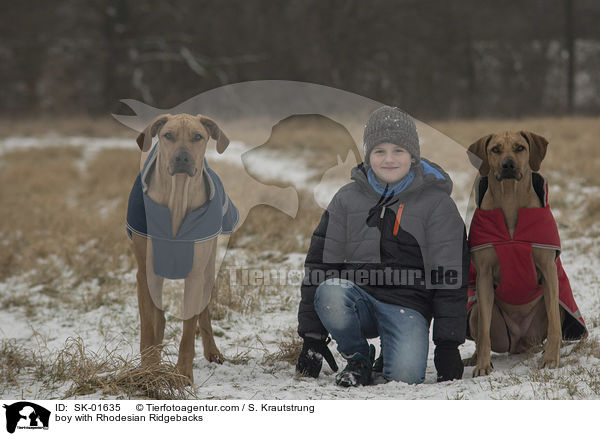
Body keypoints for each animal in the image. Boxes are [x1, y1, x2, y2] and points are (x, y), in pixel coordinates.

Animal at [130, 112, 231, 382]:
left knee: (203, 312)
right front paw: (148, 368)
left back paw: (212, 351)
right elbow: (148, 327)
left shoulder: (195, 274)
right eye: (168, 135)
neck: (177, 200)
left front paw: (183, 374)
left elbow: (188, 330)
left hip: (208, 270)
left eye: (197, 136)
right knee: (158, 317)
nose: (182, 157)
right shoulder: (145, 273)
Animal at [464, 131, 564, 376]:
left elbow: (555, 326)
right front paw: (482, 365)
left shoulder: (548, 270)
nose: (508, 165)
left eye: (520, 148)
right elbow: (484, 333)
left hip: (551, 311)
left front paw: (550, 359)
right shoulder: (484, 275)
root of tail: (519, 343)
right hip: (477, 313)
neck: (509, 198)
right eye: (495, 149)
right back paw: (474, 358)